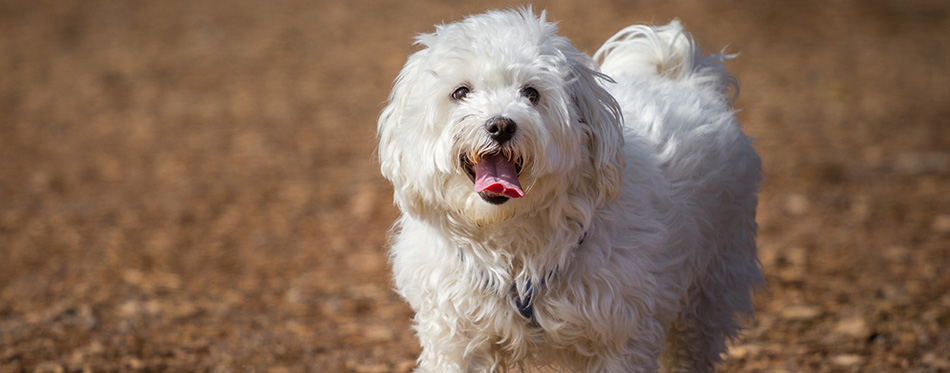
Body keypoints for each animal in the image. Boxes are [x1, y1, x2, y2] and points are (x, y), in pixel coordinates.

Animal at [378, 7, 768, 370]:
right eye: (460, 92)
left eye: (531, 93)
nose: (501, 125)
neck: (512, 237)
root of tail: (684, 78)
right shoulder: (458, 337)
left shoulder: (620, 335)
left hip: (710, 287)